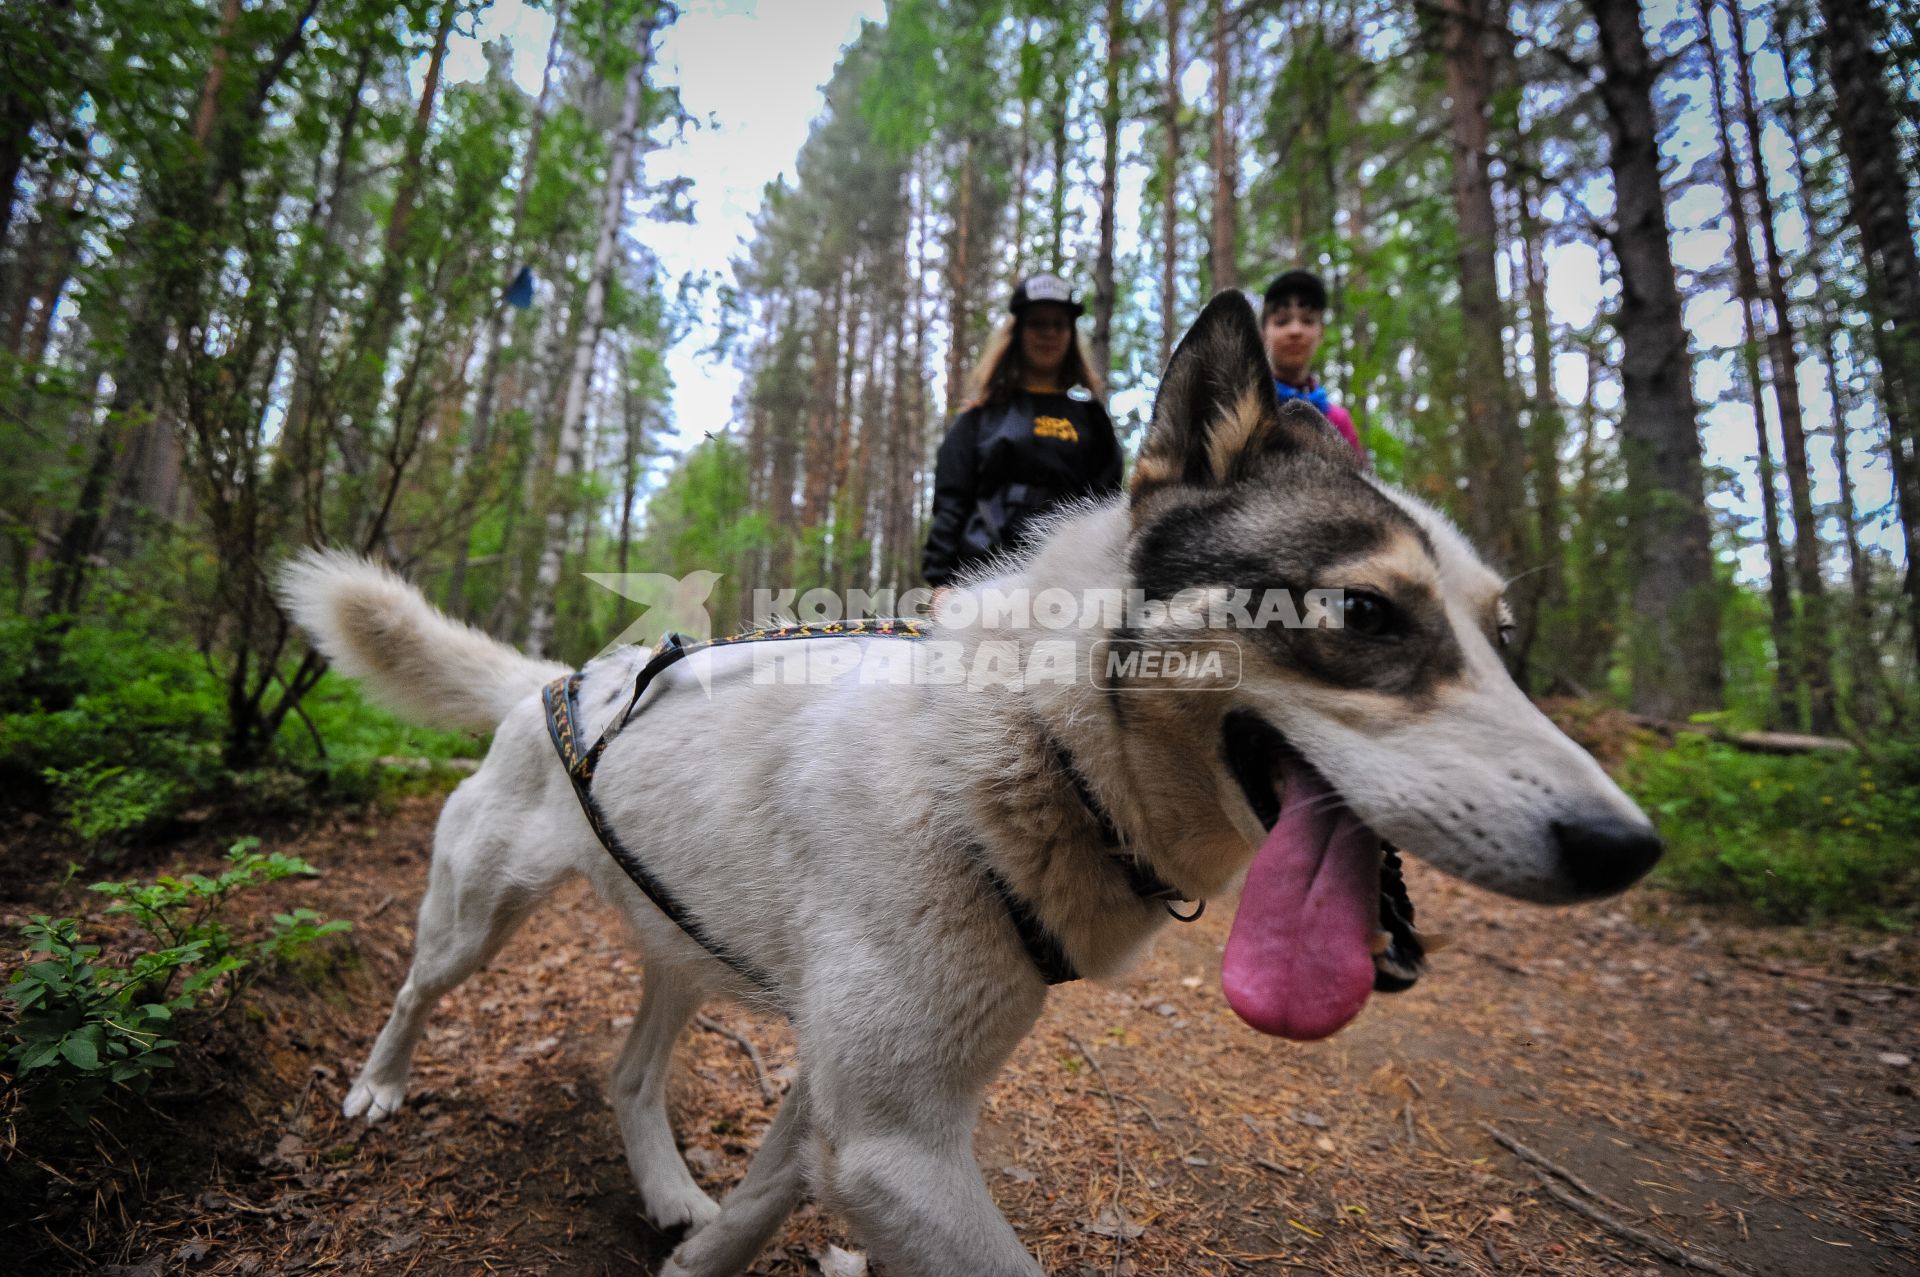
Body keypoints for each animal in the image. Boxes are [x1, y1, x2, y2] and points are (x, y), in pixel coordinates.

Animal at [278, 291, 1658, 1275]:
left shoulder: (856, 1103)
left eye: (1504, 636)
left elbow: (761, 1202)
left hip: (690, 943)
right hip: (476, 916)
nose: (1626, 846)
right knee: (415, 987)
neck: (1033, 756)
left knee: (629, 1070)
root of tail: (561, 677)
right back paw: (379, 1084)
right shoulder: (896, 1135)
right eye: (1366, 612)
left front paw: (699, 1250)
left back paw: (668, 1185)